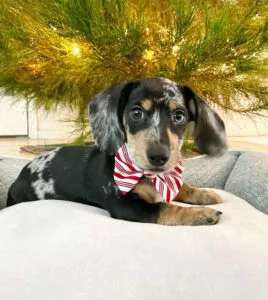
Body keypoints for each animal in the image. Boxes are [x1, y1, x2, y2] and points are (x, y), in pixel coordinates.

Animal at [7, 77, 226, 225]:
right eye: (136, 113)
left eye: (179, 116)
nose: (159, 157)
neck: (147, 175)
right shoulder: (127, 206)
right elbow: (165, 207)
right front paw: (201, 214)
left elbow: (182, 187)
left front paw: (205, 194)